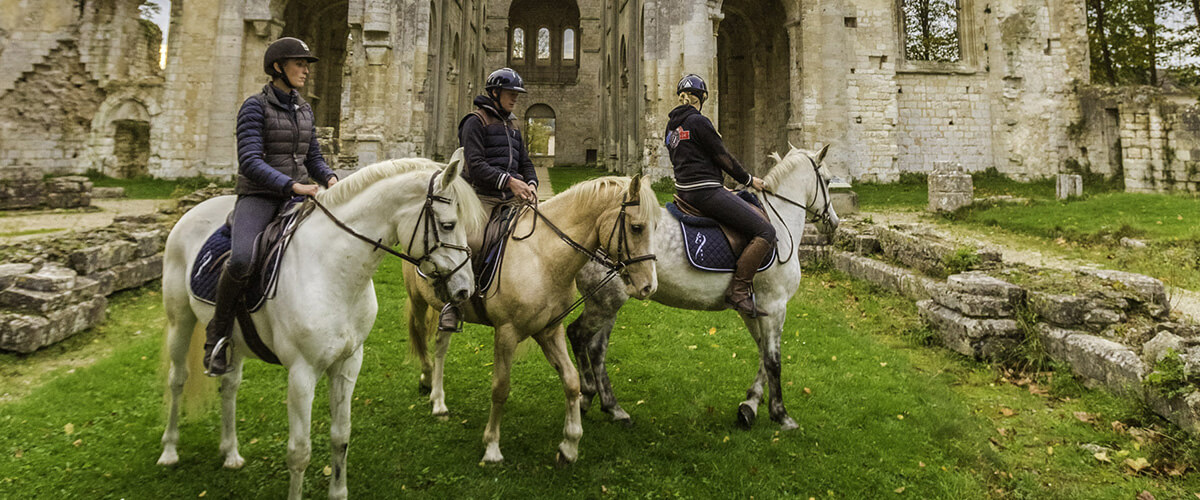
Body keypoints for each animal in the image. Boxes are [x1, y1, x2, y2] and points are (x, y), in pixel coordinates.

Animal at [157, 154, 484, 494]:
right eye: (448, 225)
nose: (465, 289)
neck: (334, 270)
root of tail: (191, 213)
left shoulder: (348, 363)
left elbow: (341, 437)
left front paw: (338, 492)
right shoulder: (302, 374)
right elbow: (299, 452)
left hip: (233, 340)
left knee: (229, 385)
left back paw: (231, 453)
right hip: (180, 321)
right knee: (177, 379)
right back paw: (169, 451)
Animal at [408, 175, 662, 462]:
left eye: (654, 226)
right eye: (637, 227)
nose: (649, 287)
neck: (542, 257)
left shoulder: (550, 330)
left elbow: (572, 381)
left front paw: (569, 444)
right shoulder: (506, 333)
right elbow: (500, 388)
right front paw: (492, 446)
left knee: (440, 346)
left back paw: (439, 401)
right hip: (417, 301)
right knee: (421, 339)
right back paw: (427, 379)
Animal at [566, 143, 840, 429]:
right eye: (828, 180)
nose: (834, 222)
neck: (779, 224)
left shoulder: (755, 308)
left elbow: (764, 353)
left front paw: (750, 405)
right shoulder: (775, 306)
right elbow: (773, 360)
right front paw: (780, 414)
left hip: (607, 302)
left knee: (596, 349)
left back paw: (611, 406)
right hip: (605, 300)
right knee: (577, 335)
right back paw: (589, 393)